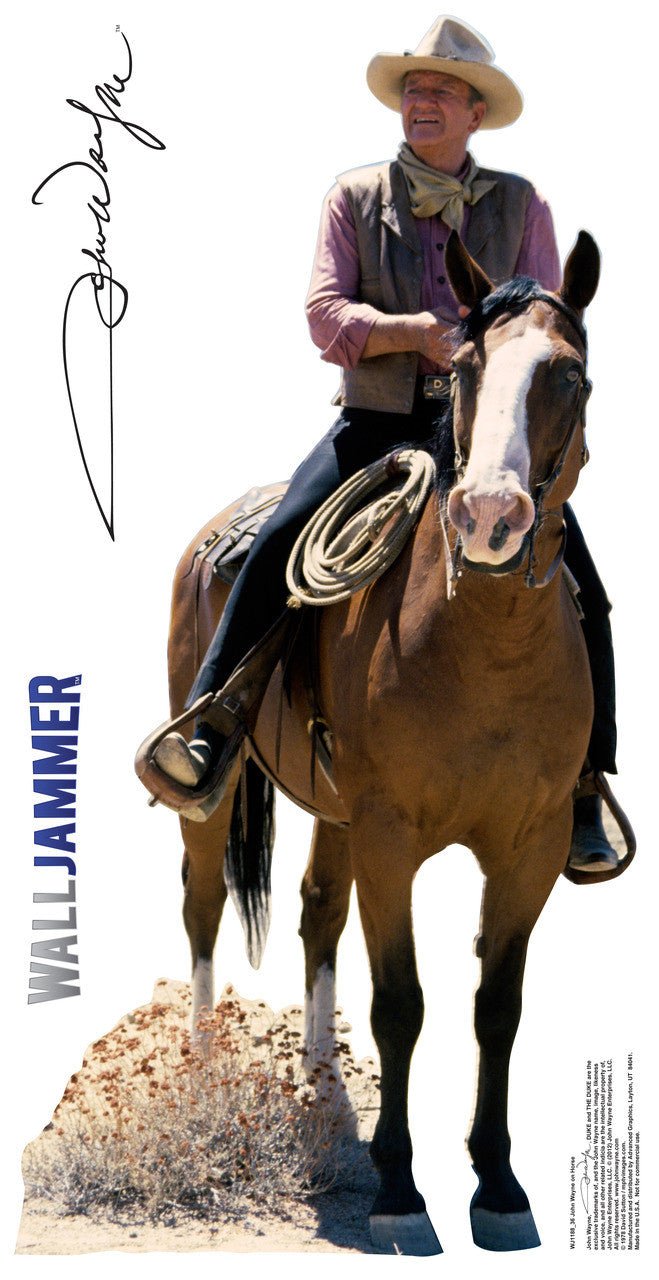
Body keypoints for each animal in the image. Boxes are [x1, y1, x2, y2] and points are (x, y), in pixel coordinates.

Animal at [163, 229, 602, 1254]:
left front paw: (498, 1185)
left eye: (568, 375)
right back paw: (204, 1074)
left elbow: (497, 1007)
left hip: (335, 814)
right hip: (220, 794)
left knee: (317, 912)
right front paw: (401, 1190)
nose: (489, 516)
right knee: (203, 906)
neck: (480, 646)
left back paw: (325, 1095)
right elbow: (402, 1003)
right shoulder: (391, 837)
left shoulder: (529, 847)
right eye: (466, 365)